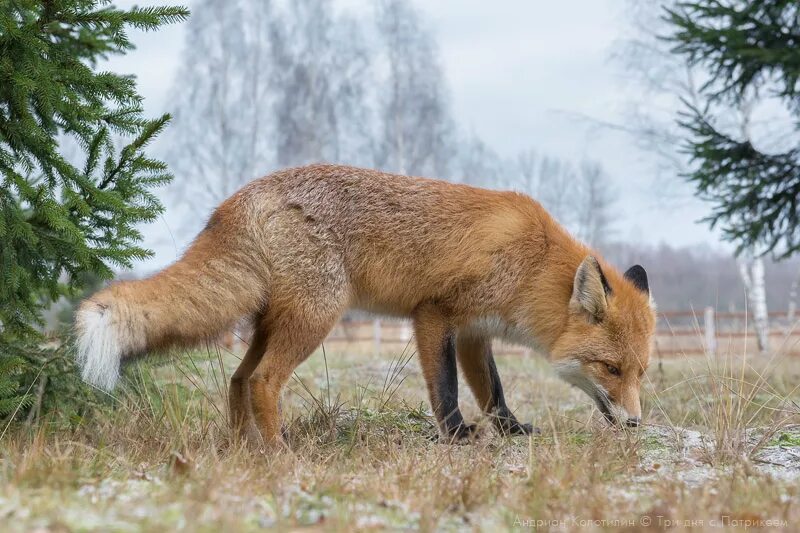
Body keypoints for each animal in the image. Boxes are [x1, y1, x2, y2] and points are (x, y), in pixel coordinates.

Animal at [75, 164, 656, 442]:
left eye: (640, 372)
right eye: (609, 368)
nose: (634, 424)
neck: (531, 264)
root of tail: (237, 198)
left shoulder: (474, 331)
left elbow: (494, 391)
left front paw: (511, 431)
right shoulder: (435, 314)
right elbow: (446, 389)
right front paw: (455, 436)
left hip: (275, 321)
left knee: (238, 379)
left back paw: (242, 450)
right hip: (316, 318)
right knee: (262, 381)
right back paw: (280, 453)